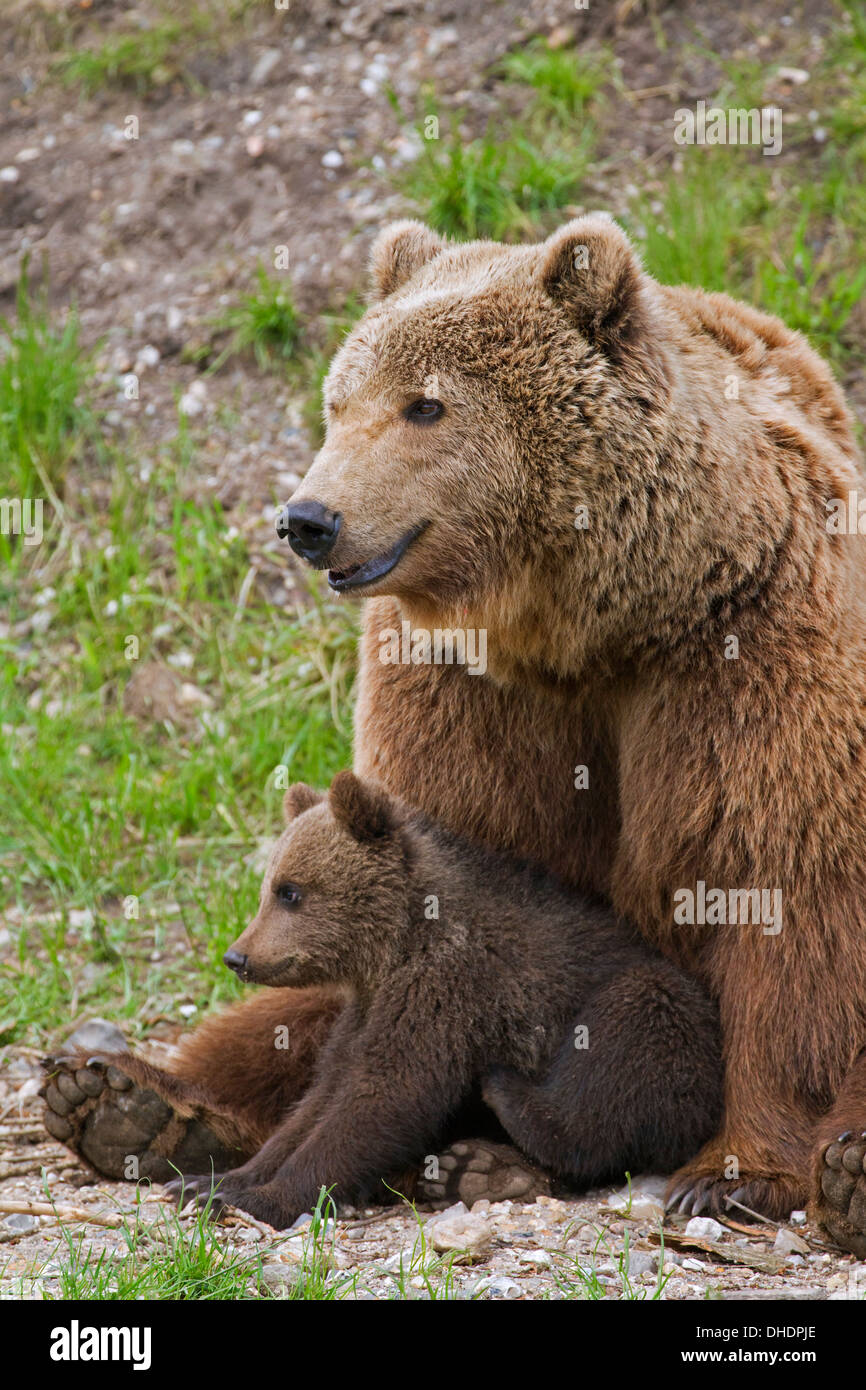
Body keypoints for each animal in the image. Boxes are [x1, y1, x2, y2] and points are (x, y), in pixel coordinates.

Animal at [45, 216, 866, 1262]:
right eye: (337, 403)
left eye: (424, 405)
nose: (308, 520)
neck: (592, 621)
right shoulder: (456, 690)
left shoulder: (749, 652)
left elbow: (781, 891)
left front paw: (735, 1174)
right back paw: (131, 1103)